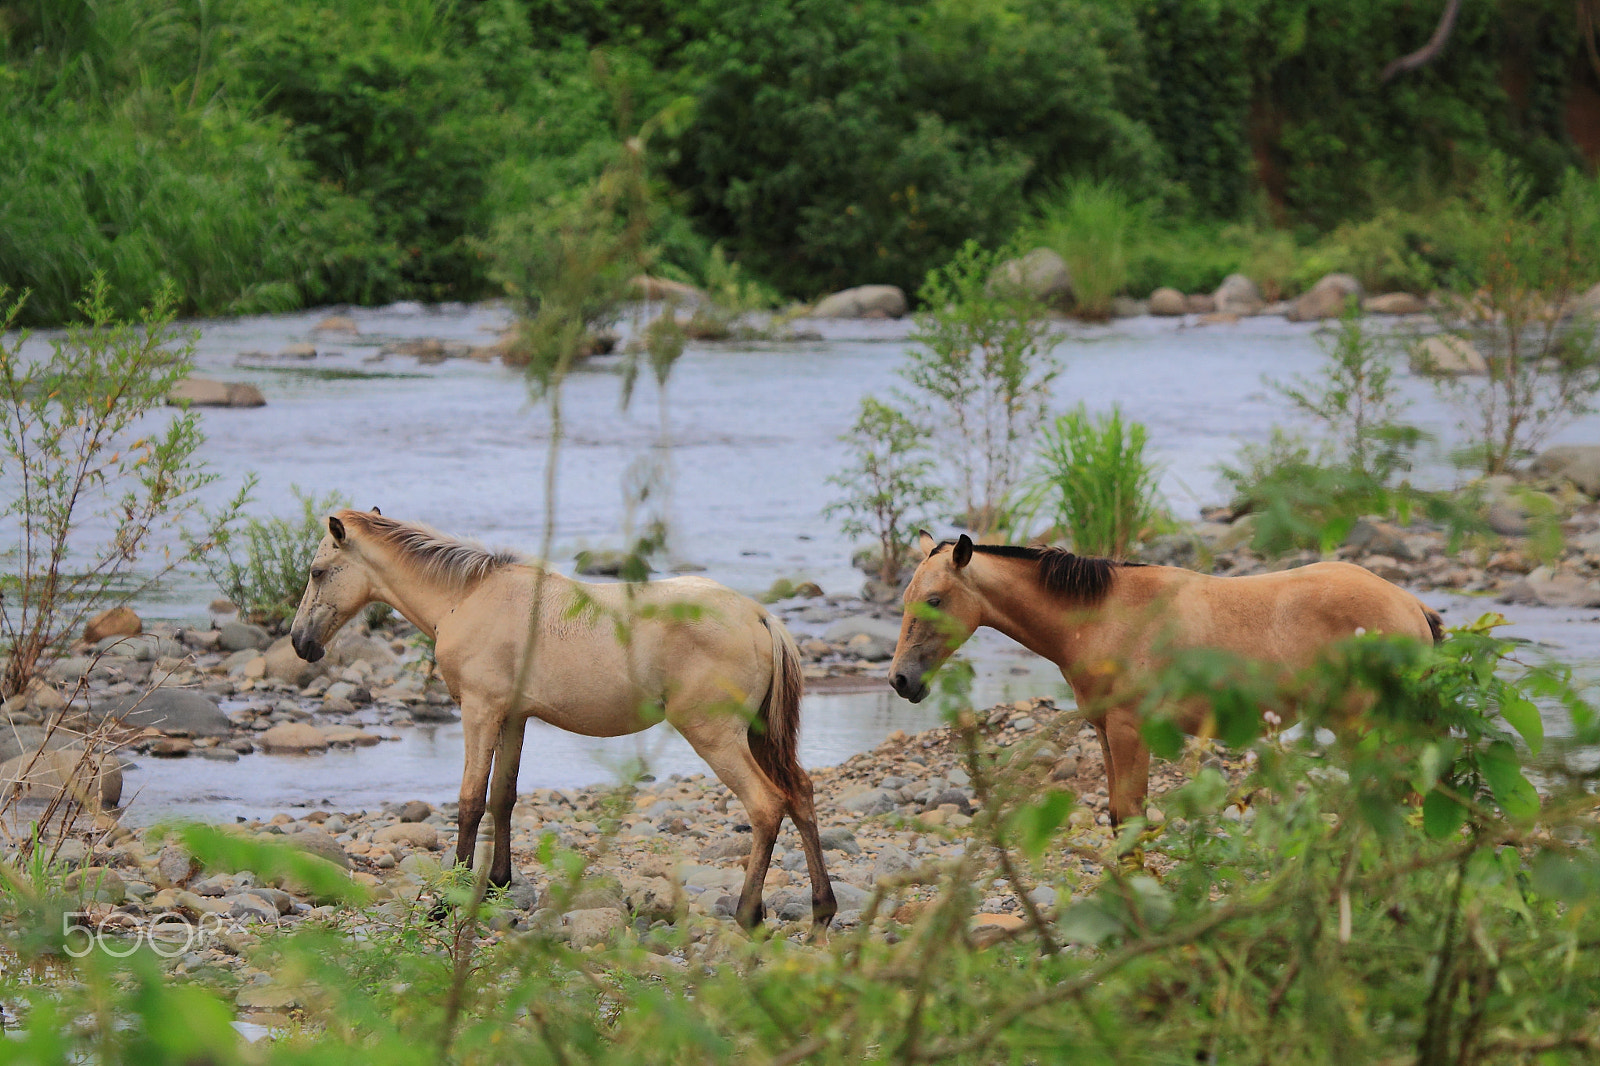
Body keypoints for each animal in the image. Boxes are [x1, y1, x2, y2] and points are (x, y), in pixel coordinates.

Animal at [291, 508, 838, 928]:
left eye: (317, 571)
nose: (300, 642)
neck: (468, 597)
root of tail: (760, 617)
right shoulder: (513, 716)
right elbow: (503, 797)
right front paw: (498, 884)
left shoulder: (479, 710)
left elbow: (470, 801)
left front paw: (446, 904)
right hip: (759, 736)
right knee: (800, 794)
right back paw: (822, 909)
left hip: (715, 736)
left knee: (766, 805)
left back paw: (749, 914)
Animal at [883, 531, 1446, 819]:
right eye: (908, 598)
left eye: (935, 601)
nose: (900, 681)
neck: (1104, 616)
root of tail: (1410, 604)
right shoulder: (1105, 732)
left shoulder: (1131, 732)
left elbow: (1132, 817)